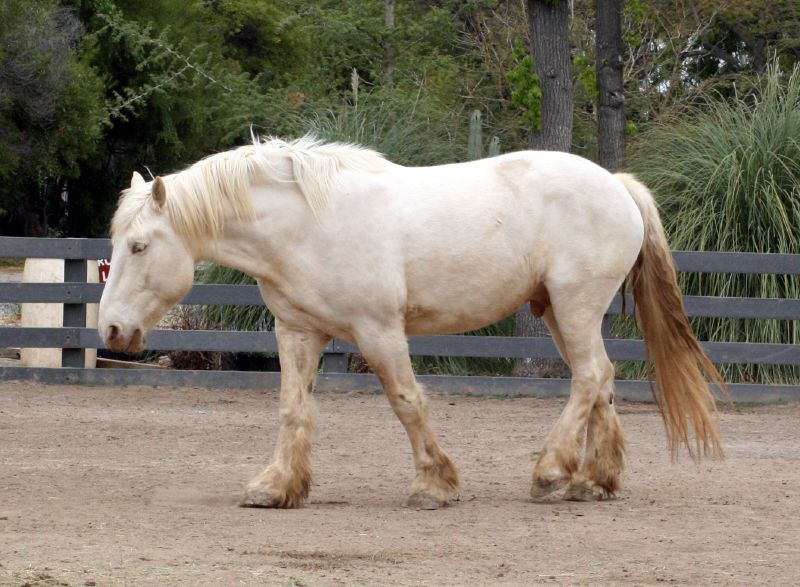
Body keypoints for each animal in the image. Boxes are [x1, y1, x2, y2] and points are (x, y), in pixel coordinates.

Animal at [98, 137, 724, 510]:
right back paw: (594, 479)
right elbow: (292, 409)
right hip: (560, 312)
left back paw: (550, 474)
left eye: (138, 245)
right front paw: (276, 487)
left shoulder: (378, 331)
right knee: (601, 382)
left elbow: (406, 401)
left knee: (590, 378)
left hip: (575, 307)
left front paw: (433, 483)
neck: (307, 225)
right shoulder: (298, 332)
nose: (111, 332)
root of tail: (616, 184)